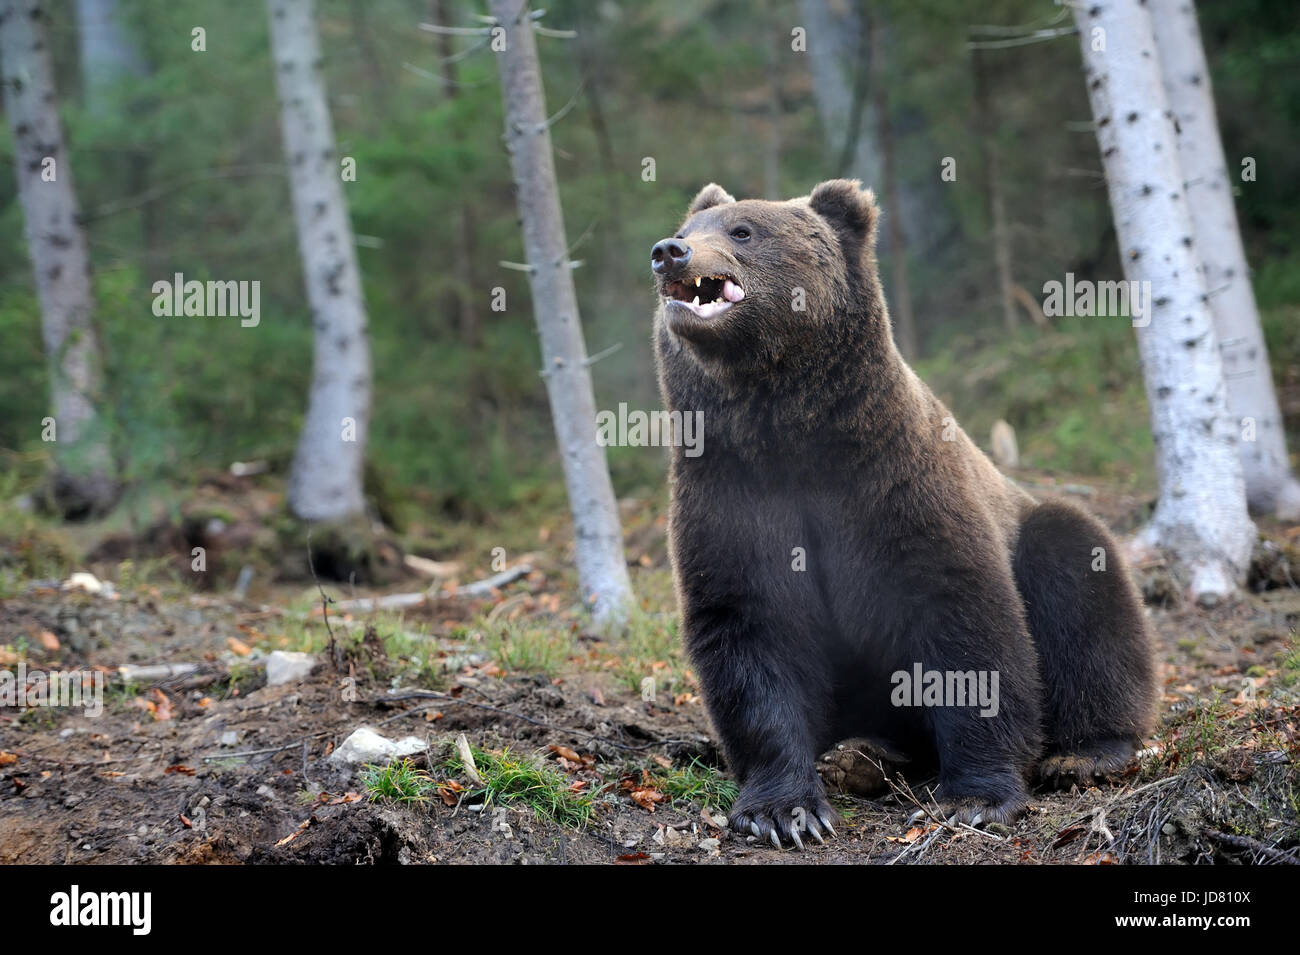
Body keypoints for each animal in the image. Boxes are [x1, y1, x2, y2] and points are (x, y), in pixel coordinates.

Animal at [651, 180, 1156, 849]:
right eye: (692, 224)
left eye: (743, 230)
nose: (670, 250)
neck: (787, 426)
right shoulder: (731, 491)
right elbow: (751, 629)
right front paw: (783, 811)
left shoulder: (895, 482)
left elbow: (963, 619)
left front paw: (972, 798)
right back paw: (861, 754)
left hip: (1037, 530)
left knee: (1079, 581)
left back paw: (1084, 754)